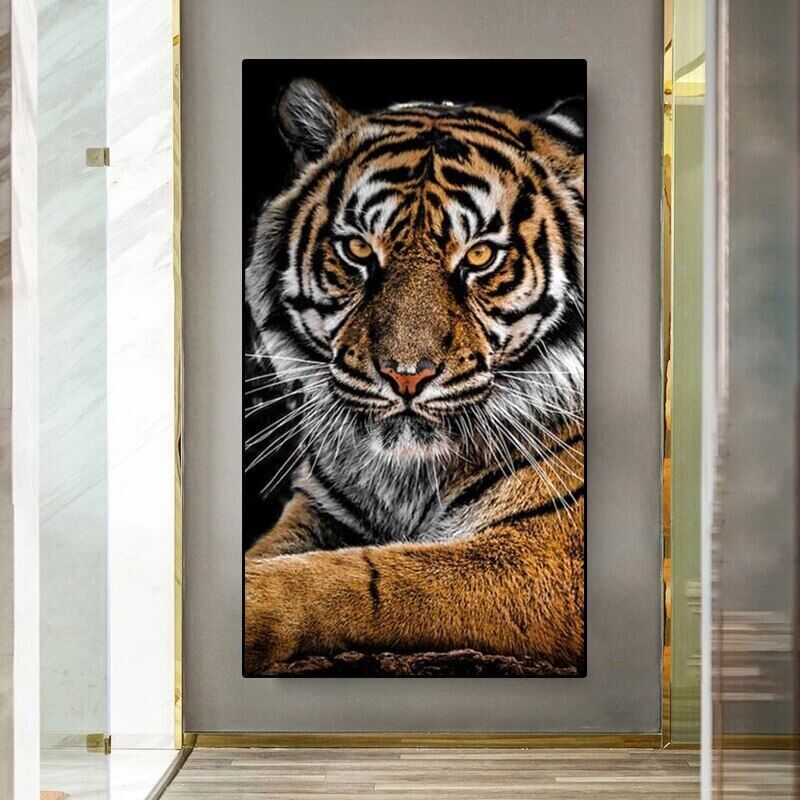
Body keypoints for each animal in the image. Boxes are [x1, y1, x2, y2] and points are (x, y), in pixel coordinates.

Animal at [244, 78, 585, 675]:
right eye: (358, 249)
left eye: (480, 255)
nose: (406, 376)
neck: (406, 479)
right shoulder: (318, 509)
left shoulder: (549, 553)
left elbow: (362, 580)